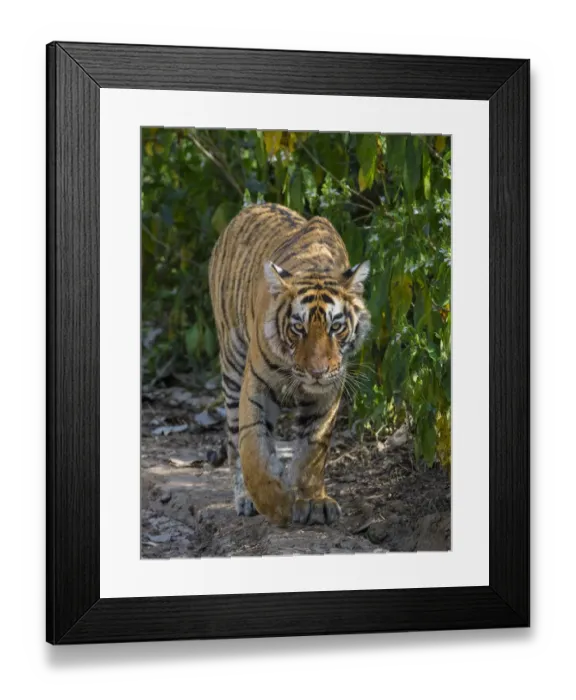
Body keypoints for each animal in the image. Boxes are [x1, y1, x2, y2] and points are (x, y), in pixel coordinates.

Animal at [208, 203, 371, 526]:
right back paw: (246, 498)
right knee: (234, 440)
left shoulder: (327, 392)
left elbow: (312, 450)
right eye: (298, 328)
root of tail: (249, 208)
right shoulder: (256, 384)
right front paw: (275, 505)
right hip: (233, 365)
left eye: (336, 327)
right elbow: (252, 446)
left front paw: (313, 502)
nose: (317, 372)